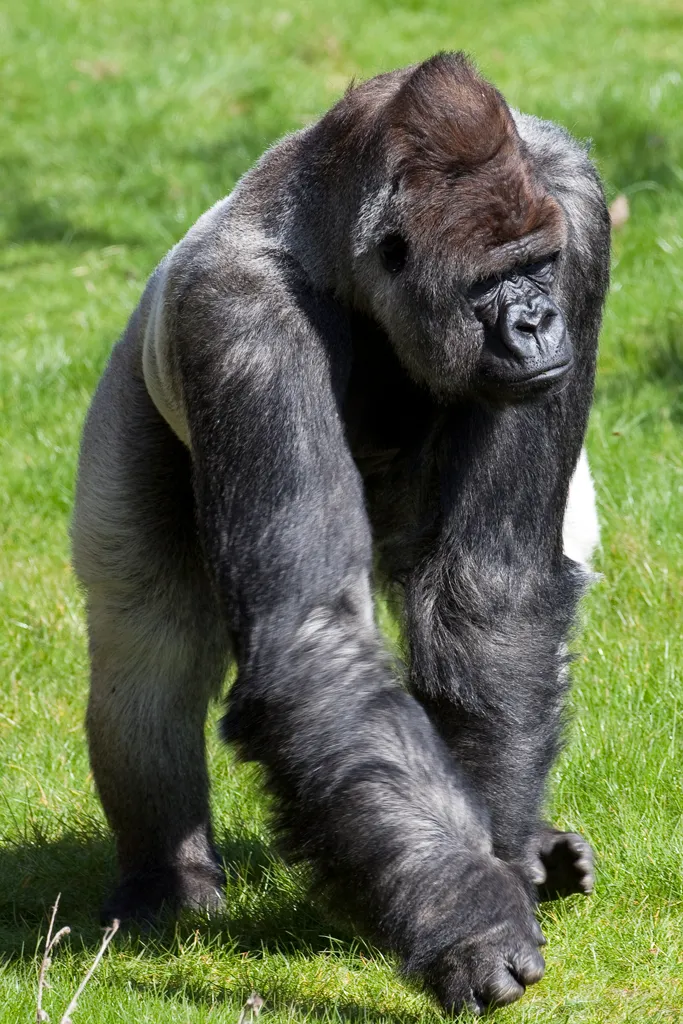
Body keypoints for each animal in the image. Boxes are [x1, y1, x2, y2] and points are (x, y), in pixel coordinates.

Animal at [71, 52, 610, 1014]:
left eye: (541, 266)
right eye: (487, 284)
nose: (537, 321)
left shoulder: (577, 214)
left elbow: (491, 586)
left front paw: (503, 862)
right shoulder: (241, 318)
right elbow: (313, 636)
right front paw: (470, 916)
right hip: (139, 376)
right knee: (148, 642)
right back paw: (166, 882)